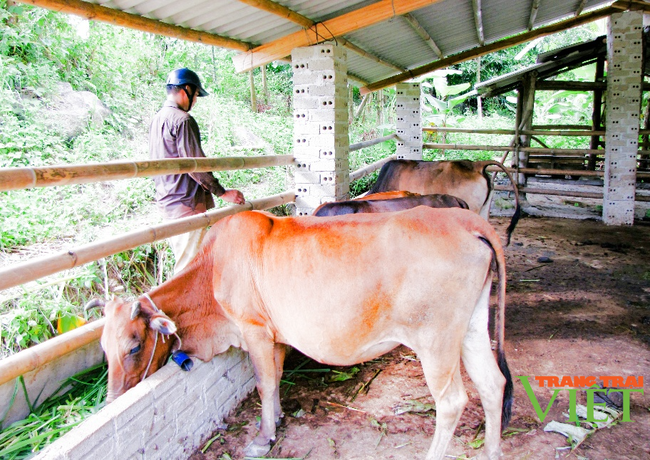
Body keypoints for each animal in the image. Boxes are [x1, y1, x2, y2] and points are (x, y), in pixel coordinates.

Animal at [96, 208, 512, 460]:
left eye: (134, 346)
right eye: (104, 347)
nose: (112, 399)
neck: (212, 270)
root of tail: (463, 220)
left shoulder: (253, 329)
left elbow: (264, 383)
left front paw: (262, 437)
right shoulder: (276, 335)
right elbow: (277, 377)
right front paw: (277, 418)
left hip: (435, 340)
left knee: (452, 401)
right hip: (472, 328)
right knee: (493, 383)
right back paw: (492, 451)